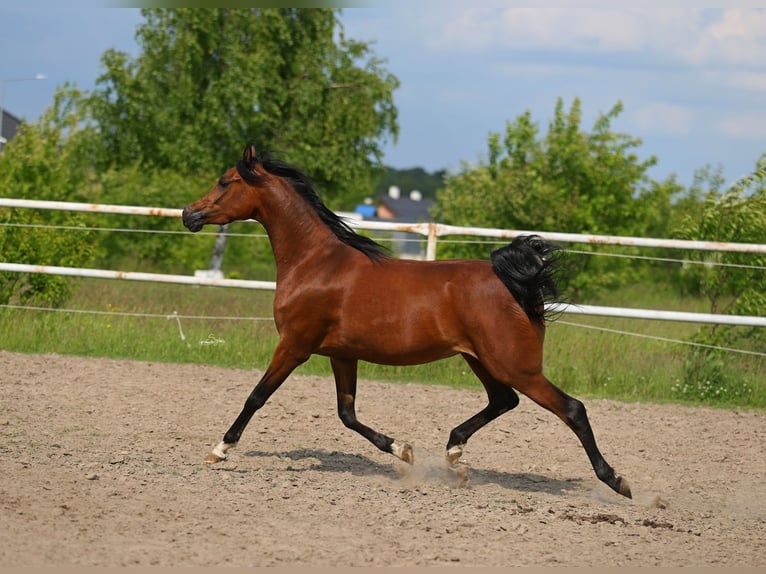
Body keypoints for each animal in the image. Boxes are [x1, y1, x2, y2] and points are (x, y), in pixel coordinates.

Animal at [181, 143, 632, 499]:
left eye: (224, 182)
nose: (188, 214)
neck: (316, 263)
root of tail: (515, 281)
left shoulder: (294, 345)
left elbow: (256, 397)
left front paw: (220, 450)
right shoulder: (341, 354)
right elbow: (347, 413)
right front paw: (403, 450)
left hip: (515, 365)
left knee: (571, 409)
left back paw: (617, 481)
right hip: (480, 359)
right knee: (503, 400)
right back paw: (455, 457)